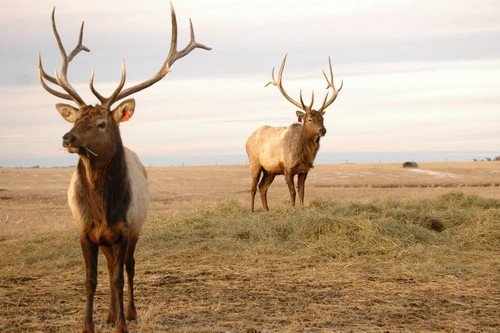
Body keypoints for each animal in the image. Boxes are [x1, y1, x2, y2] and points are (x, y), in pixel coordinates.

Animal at [38, 5, 210, 332]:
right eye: (75, 119)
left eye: (101, 123)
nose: (67, 138)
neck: (105, 209)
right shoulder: (84, 232)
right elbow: (91, 279)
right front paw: (90, 325)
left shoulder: (125, 230)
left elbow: (119, 277)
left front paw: (121, 324)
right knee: (108, 269)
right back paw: (109, 313)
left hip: (135, 229)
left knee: (128, 267)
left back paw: (128, 311)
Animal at [245, 54, 342, 210]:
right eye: (309, 119)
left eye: (322, 118)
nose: (323, 130)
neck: (303, 154)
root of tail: (247, 139)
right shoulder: (287, 169)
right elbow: (292, 193)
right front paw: (293, 208)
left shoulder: (304, 170)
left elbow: (302, 192)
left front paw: (301, 207)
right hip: (254, 162)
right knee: (253, 187)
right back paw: (253, 210)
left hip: (270, 170)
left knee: (262, 187)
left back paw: (267, 210)